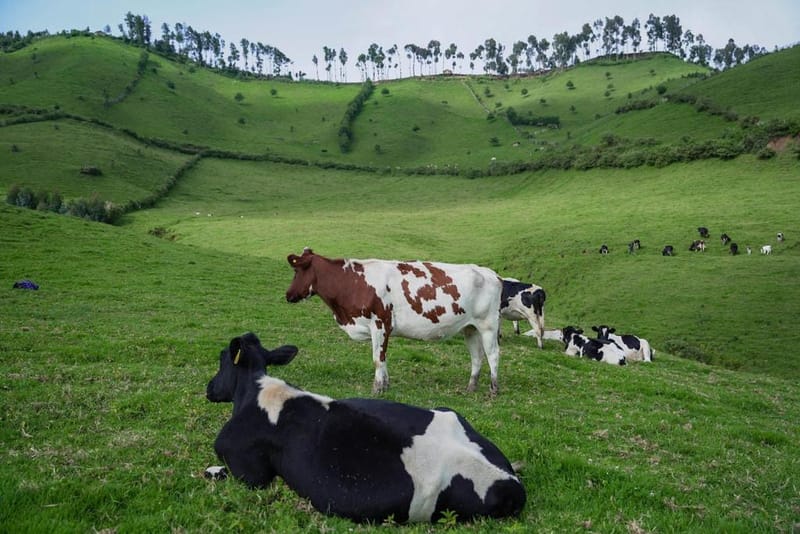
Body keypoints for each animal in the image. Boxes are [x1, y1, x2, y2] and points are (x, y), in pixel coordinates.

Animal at [205, 332, 526, 524]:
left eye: (221, 359)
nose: (209, 388)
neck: (257, 392)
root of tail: (510, 481)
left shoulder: (249, 470)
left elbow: (219, 472)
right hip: (450, 414)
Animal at [285, 248, 503, 394]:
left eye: (296, 272)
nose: (288, 295)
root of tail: (492, 274)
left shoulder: (380, 323)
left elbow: (377, 358)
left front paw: (377, 388)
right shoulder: (382, 328)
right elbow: (383, 358)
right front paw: (386, 384)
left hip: (488, 325)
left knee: (493, 354)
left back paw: (493, 389)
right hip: (470, 328)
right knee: (477, 356)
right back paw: (471, 387)